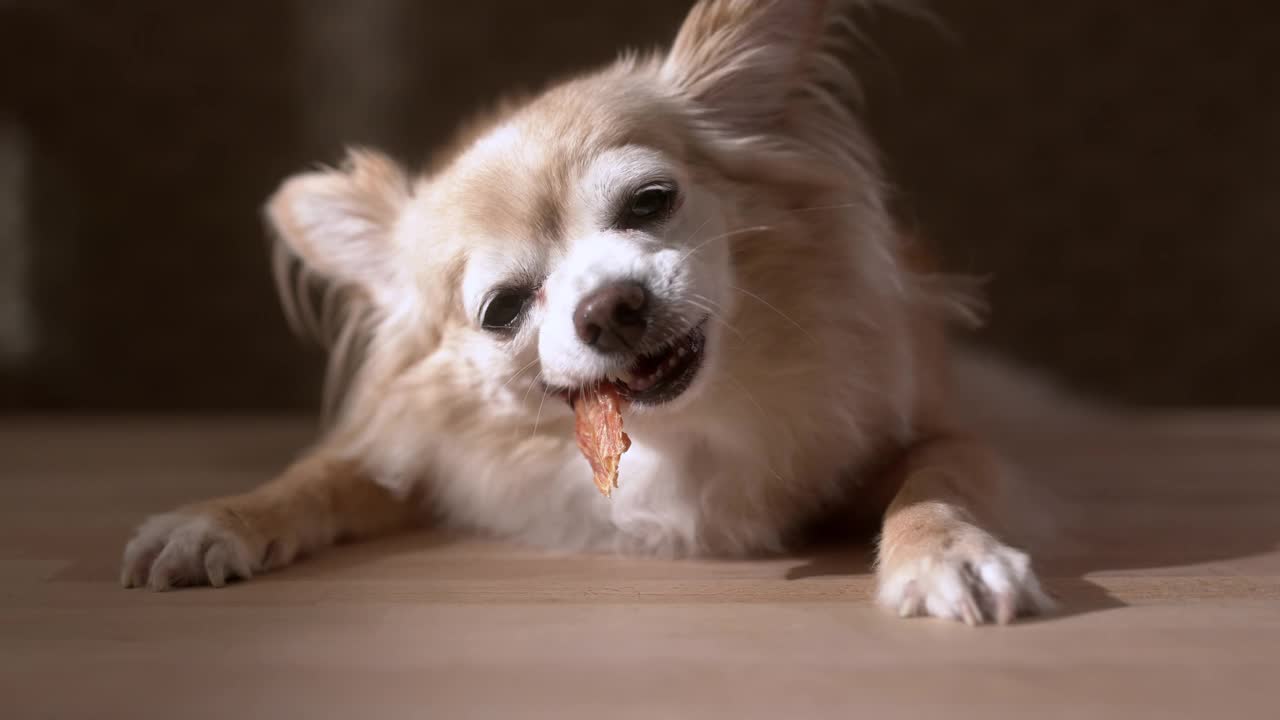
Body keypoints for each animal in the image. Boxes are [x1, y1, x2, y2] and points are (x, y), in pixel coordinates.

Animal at [124, 0, 1054, 622]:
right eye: (503, 309)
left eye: (651, 201)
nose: (610, 307)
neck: (680, 434)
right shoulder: (417, 457)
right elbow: (318, 475)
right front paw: (217, 518)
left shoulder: (939, 434)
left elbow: (936, 481)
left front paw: (951, 552)